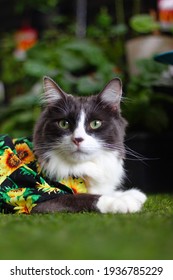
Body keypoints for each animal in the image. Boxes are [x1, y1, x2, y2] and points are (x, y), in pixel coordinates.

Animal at [32, 76, 146, 212]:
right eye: (64, 124)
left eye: (95, 123)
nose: (78, 139)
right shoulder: (39, 198)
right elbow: (83, 197)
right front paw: (123, 202)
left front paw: (131, 194)